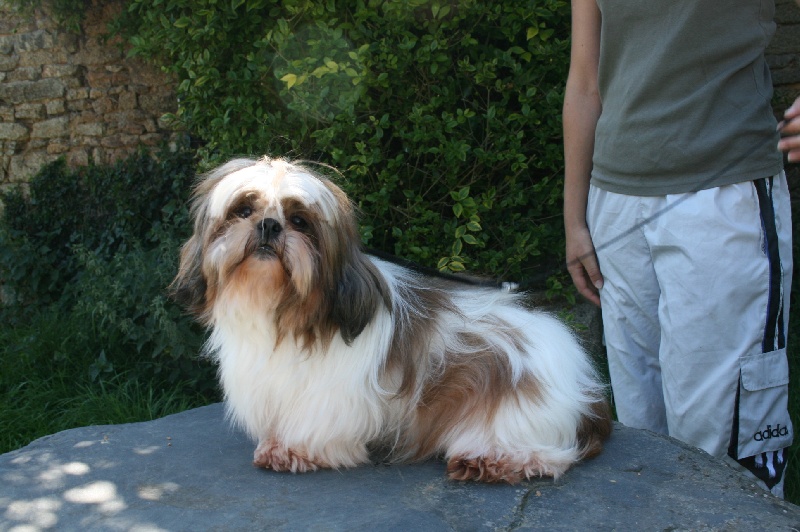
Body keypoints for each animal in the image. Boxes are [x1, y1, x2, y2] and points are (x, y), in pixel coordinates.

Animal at [172, 156, 612, 484]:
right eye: (243, 210)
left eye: (299, 221)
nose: (268, 224)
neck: (279, 306)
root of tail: (586, 386)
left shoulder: (328, 395)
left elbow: (315, 424)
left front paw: (292, 450)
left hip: (515, 408)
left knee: (549, 456)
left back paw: (492, 460)